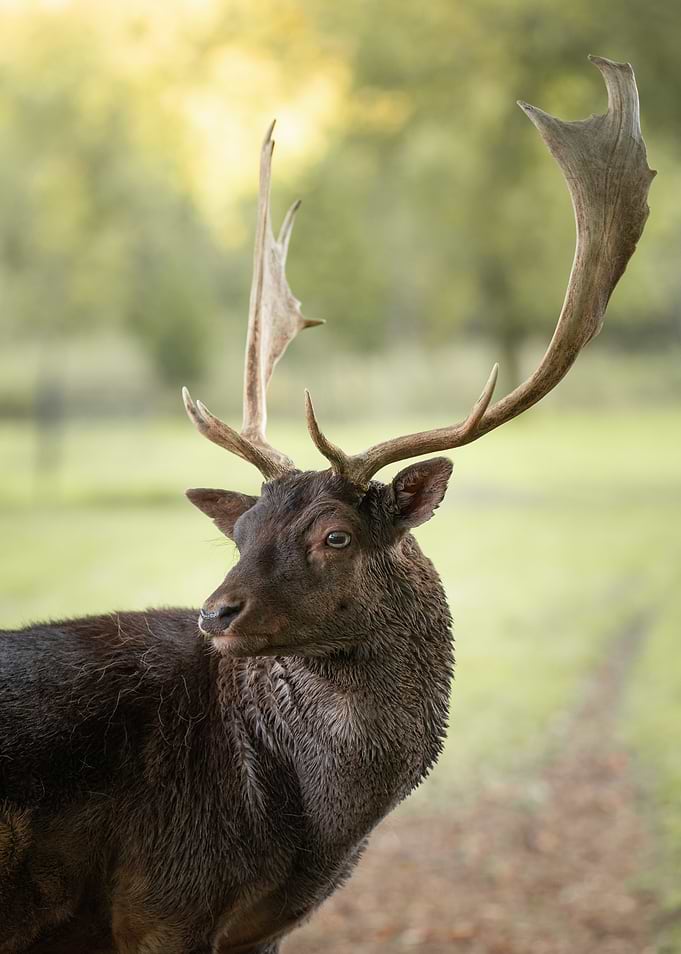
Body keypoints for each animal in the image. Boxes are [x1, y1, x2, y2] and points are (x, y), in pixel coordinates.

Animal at [0, 56, 654, 954]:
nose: (216, 614)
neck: (307, 836)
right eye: (239, 530)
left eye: (336, 536)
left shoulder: (252, 926)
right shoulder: (161, 900)